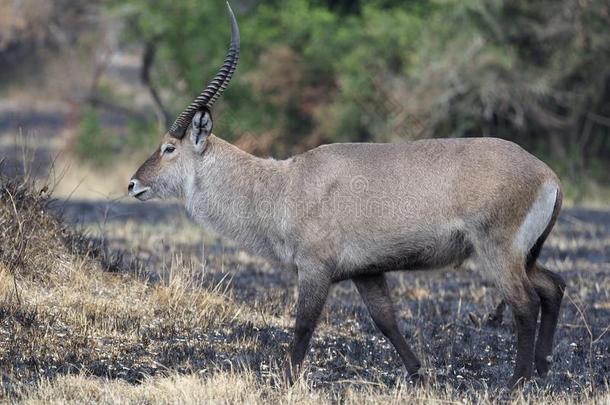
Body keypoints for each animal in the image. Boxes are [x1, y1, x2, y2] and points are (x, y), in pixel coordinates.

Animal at [128, 3, 564, 388]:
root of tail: (548, 174)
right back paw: (542, 367)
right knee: (553, 285)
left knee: (526, 303)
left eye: (169, 147)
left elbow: (304, 324)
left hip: (497, 253)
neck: (282, 184)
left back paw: (517, 382)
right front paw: (419, 375)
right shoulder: (366, 272)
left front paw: (285, 382)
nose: (132, 184)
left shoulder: (315, 268)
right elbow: (386, 321)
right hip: (522, 256)